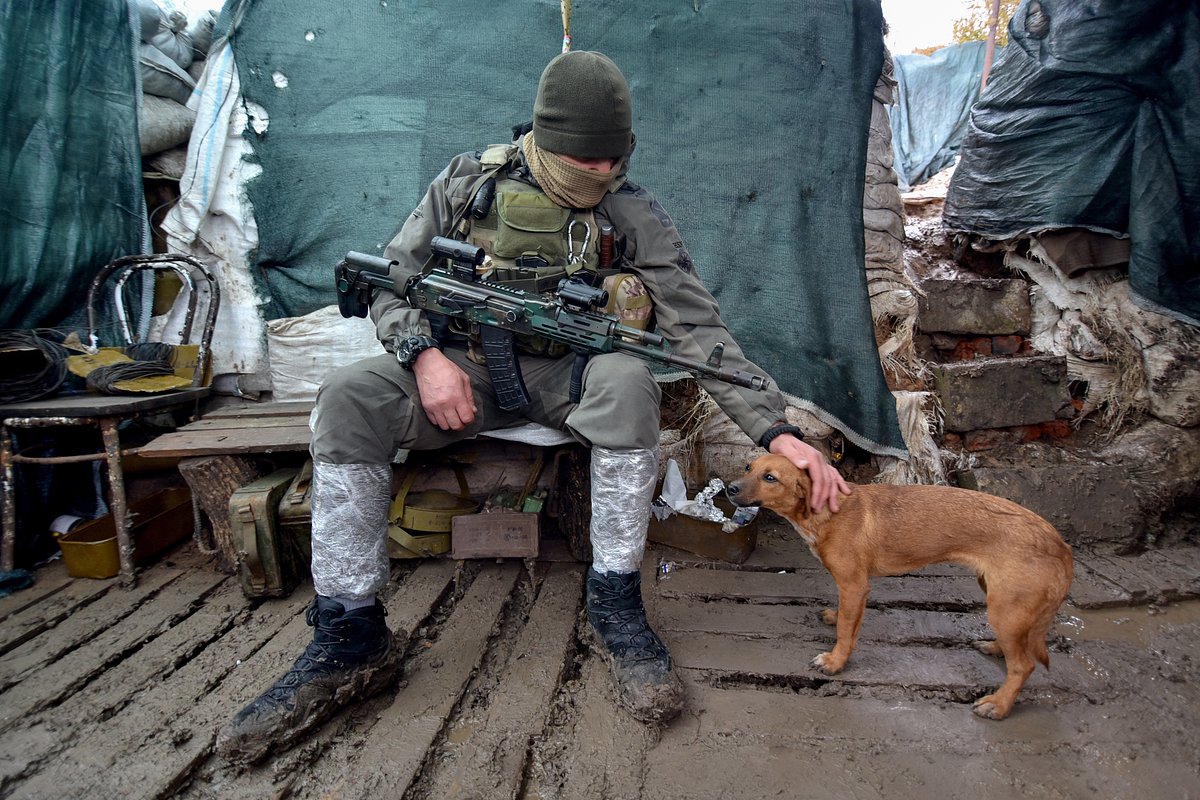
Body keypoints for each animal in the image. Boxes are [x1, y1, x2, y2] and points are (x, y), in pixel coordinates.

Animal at [724, 453, 1075, 724]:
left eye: (770, 477)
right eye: (748, 467)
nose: (729, 488)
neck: (827, 510)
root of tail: (1060, 544)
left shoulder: (855, 585)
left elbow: (846, 631)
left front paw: (835, 662)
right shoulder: (851, 588)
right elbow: (845, 617)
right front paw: (834, 616)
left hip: (1004, 608)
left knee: (1023, 665)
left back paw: (998, 705)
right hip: (999, 598)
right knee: (1019, 646)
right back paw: (995, 647)